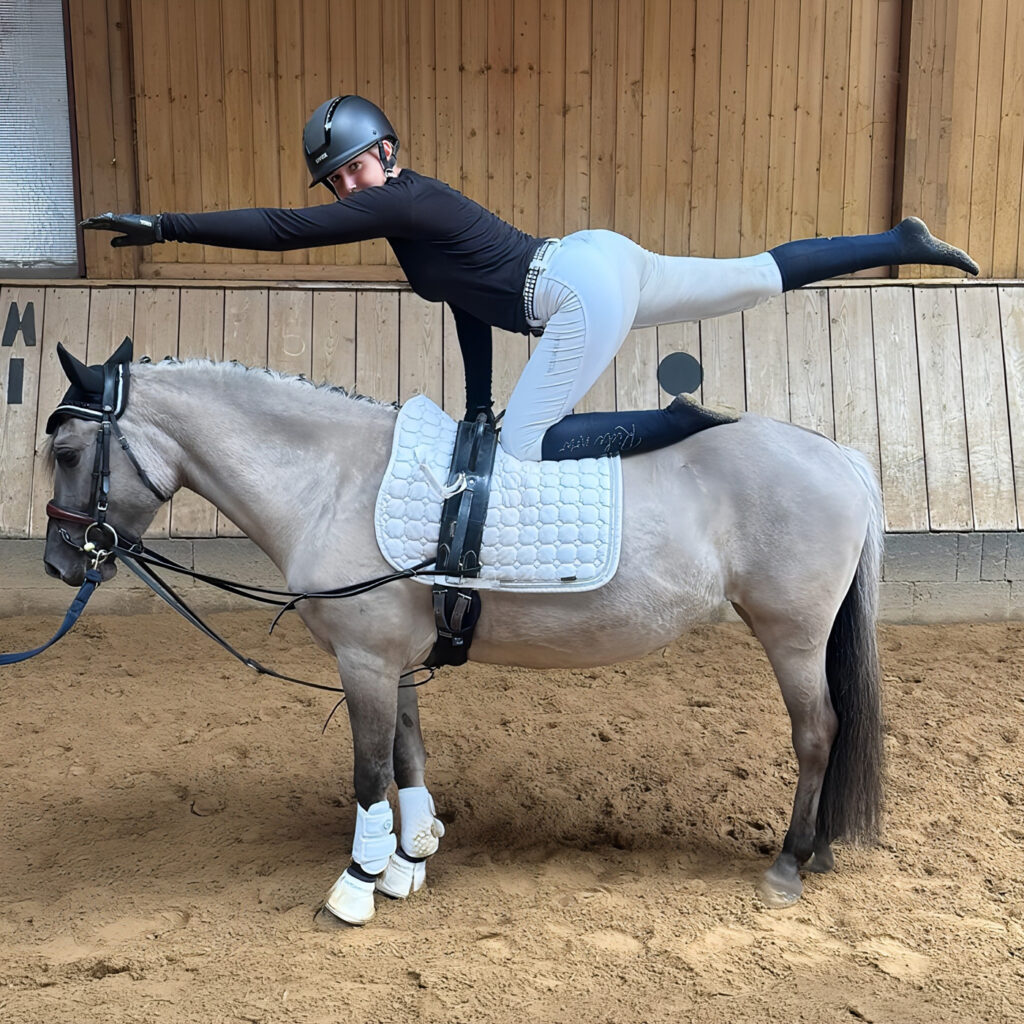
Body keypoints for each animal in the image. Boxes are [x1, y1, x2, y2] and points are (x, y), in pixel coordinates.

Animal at [41, 342, 884, 926]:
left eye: (68, 452)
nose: (59, 561)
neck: (335, 480)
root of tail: (838, 454)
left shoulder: (364, 661)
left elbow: (369, 771)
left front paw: (356, 886)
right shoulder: (392, 661)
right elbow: (408, 753)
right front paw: (409, 859)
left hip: (793, 636)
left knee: (818, 732)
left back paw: (789, 863)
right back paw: (820, 850)